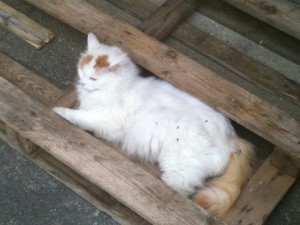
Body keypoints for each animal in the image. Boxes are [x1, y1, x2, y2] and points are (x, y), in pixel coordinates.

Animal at [52, 33, 254, 216]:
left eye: (93, 79)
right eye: (81, 72)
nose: (82, 83)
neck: (121, 88)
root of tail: (232, 140)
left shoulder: (106, 119)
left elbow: (79, 116)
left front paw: (58, 111)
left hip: (178, 169)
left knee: (183, 191)